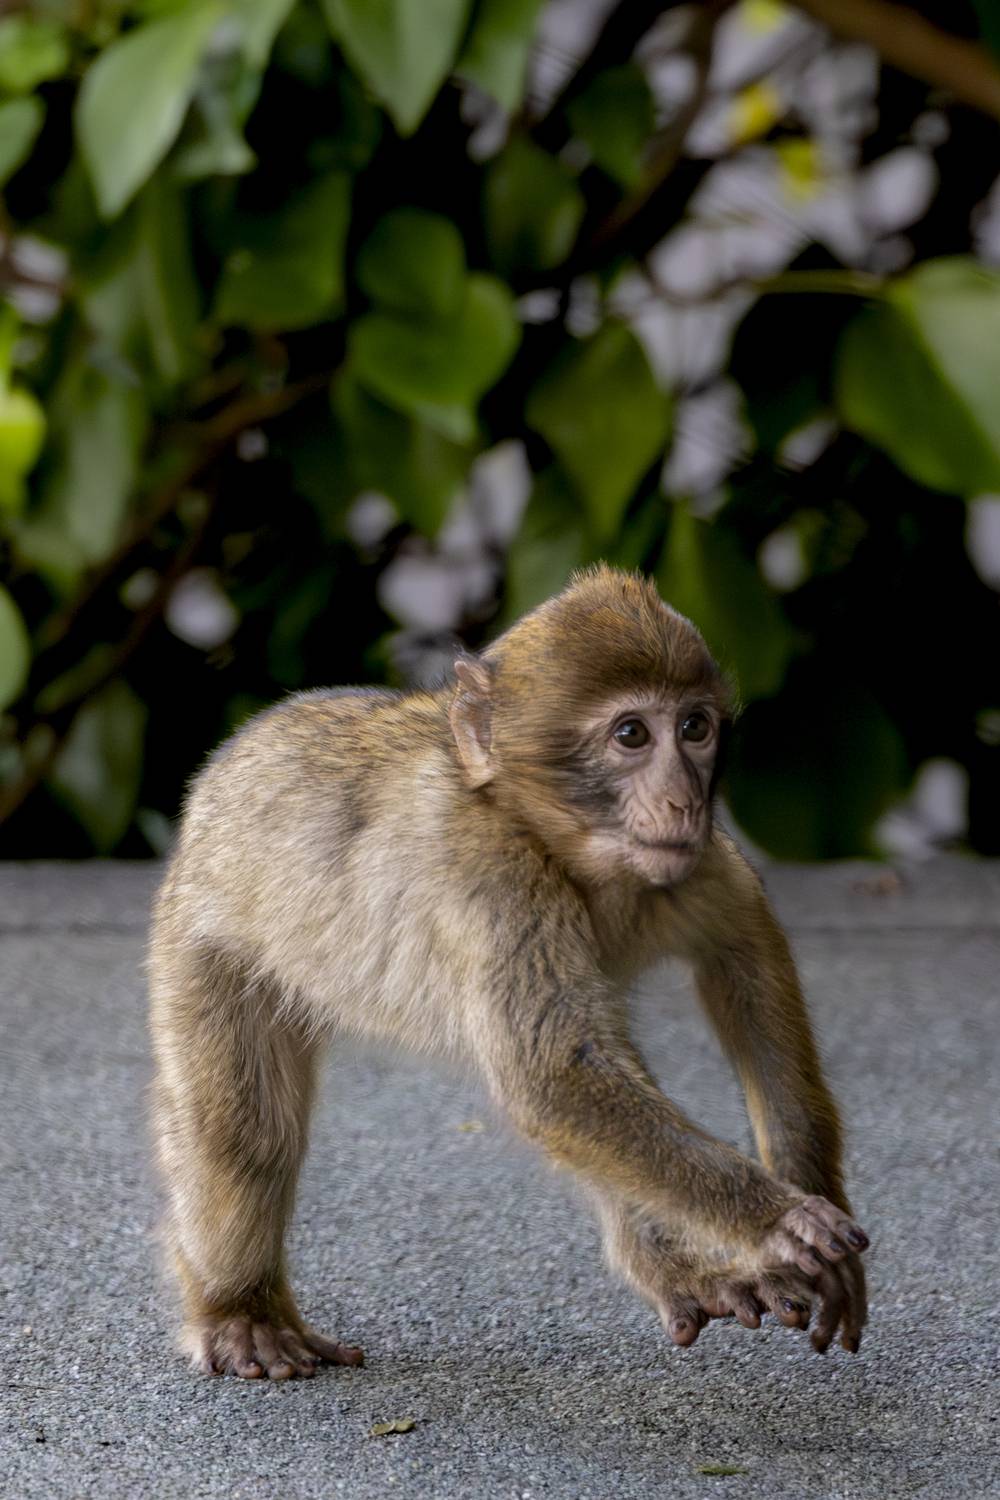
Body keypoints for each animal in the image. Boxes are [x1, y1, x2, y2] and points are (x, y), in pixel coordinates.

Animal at [148, 564, 869, 1381]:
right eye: (631, 734)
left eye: (695, 728)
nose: (683, 797)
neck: (558, 843)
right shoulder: (492, 880)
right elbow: (553, 1075)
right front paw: (782, 1220)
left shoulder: (690, 863)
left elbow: (744, 949)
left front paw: (807, 1185)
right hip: (204, 942)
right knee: (243, 1135)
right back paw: (239, 1310)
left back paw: (671, 1267)